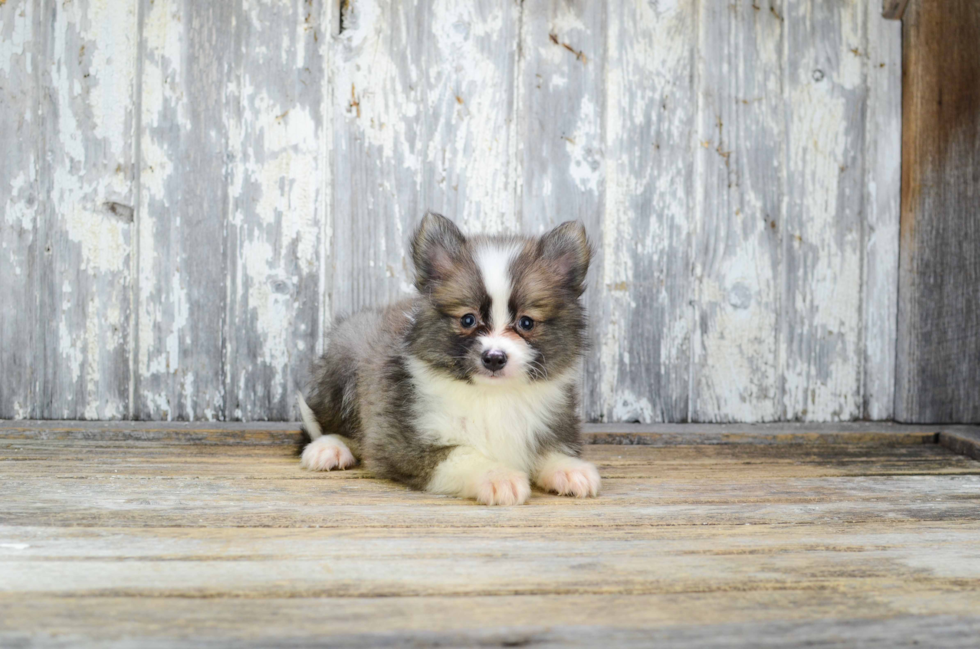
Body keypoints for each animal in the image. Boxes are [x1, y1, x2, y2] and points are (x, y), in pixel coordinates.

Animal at [294, 210, 600, 504]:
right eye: (468, 319)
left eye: (526, 323)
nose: (494, 358)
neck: (492, 396)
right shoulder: (405, 442)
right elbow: (461, 454)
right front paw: (498, 476)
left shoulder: (553, 422)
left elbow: (548, 449)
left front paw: (569, 468)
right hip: (346, 353)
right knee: (324, 423)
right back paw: (329, 448)